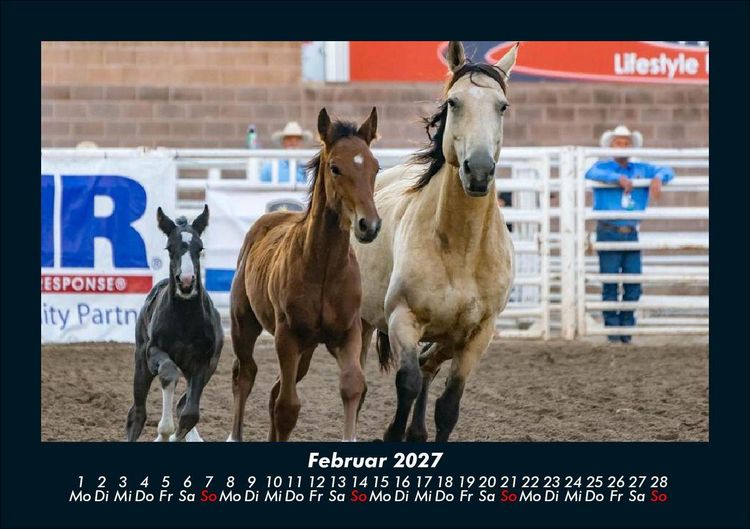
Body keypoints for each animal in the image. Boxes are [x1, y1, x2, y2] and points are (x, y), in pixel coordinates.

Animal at [125, 205, 223, 442]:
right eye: (170, 248)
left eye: (200, 247)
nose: (186, 282)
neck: (184, 320)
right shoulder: (153, 352)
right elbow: (169, 373)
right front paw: (163, 432)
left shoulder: (202, 363)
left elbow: (190, 414)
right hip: (141, 363)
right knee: (137, 413)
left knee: (182, 405)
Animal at [228, 107, 381, 442]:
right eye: (335, 167)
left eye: (375, 167)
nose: (370, 225)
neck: (324, 268)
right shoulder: (287, 337)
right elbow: (288, 407)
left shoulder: (348, 333)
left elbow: (353, 385)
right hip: (244, 325)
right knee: (245, 374)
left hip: (307, 350)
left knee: (273, 389)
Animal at [353, 41, 518, 442]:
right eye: (454, 102)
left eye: (502, 106)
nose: (479, 170)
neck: (461, 248)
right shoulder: (402, 319)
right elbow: (407, 383)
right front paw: (392, 433)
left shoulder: (478, 335)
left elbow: (449, 406)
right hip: (362, 322)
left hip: (447, 337)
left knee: (430, 365)